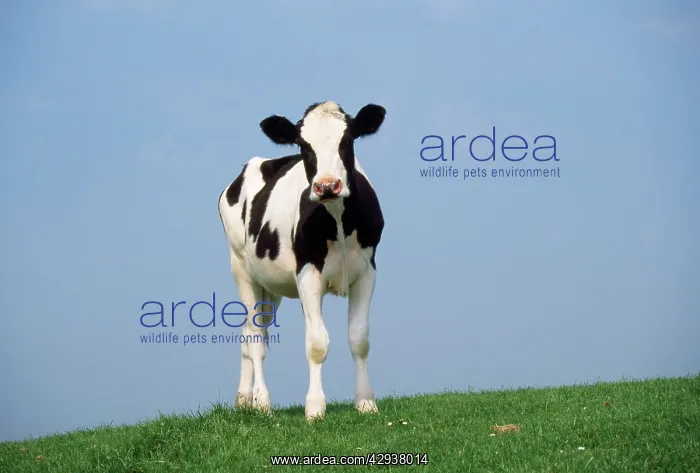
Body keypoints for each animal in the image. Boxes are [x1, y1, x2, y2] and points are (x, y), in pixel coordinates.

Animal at [217, 101, 386, 420]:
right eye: (304, 146)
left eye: (347, 140)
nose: (327, 186)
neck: (337, 219)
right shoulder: (308, 274)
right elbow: (317, 343)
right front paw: (315, 408)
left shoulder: (368, 271)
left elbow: (359, 339)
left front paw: (366, 402)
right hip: (240, 268)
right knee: (255, 338)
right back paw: (262, 401)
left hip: (270, 287)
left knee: (251, 333)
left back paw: (244, 399)